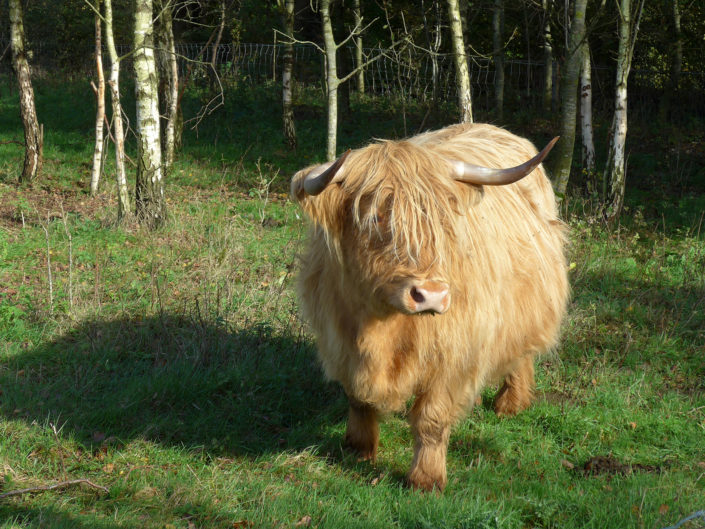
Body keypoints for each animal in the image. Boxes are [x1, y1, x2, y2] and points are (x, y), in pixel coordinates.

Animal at [290, 123, 569, 492]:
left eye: (442, 222)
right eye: (375, 216)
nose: (432, 295)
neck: (381, 325)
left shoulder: (452, 352)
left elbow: (431, 418)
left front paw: (426, 479)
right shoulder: (340, 341)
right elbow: (358, 398)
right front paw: (358, 449)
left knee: (520, 350)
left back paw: (511, 403)